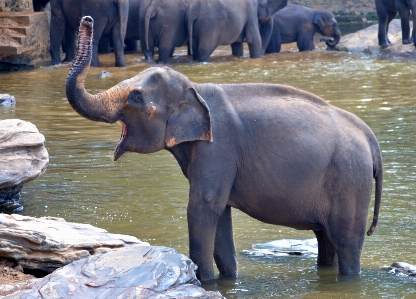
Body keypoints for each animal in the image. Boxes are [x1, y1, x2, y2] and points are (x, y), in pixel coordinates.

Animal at [66, 16, 384, 284]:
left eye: (135, 97)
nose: (87, 20)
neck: (195, 88)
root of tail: (370, 138)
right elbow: (221, 215)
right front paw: (228, 279)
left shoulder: (217, 149)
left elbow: (203, 207)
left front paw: (204, 281)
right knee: (325, 240)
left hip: (350, 182)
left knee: (346, 244)